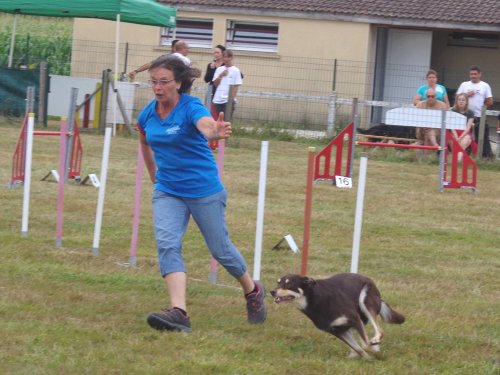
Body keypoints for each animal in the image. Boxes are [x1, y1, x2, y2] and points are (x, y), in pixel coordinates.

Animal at [270, 274, 406, 358]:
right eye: (278, 282)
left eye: (289, 284)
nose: (272, 291)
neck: (315, 300)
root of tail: (367, 278)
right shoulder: (336, 331)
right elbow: (359, 348)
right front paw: (367, 358)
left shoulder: (354, 318)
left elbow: (365, 344)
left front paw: (373, 351)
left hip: (365, 301)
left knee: (379, 330)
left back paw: (375, 342)